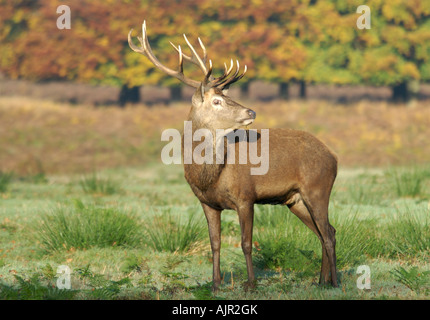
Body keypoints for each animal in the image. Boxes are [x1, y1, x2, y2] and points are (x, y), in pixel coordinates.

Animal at [127, 22, 340, 292]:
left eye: (227, 96)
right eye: (218, 100)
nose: (251, 111)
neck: (209, 176)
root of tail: (333, 156)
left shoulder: (245, 196)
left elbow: (246, 243)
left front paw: (251, 283)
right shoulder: (206, 202)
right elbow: (214, 244)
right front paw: (215, 284)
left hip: (318, 188)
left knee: (329, 233)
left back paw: (335, 283)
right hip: (295, 200)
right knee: (324, 232)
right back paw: (321, 282)